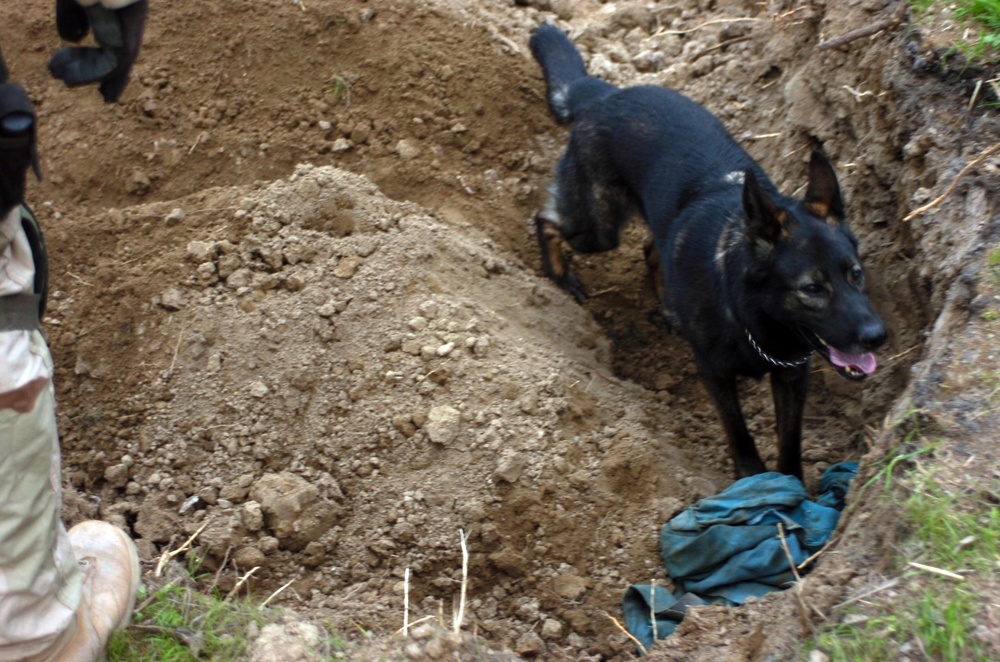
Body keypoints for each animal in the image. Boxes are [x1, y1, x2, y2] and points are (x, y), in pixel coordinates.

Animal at [528, 26, 888, 480]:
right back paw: (560, 275)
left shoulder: (792, 376)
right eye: (812, 289)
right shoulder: (715, 374)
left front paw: (791, 484)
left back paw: (668, 305)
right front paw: (752, 478)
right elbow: (740, 433)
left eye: (855, 273)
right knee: (547, 220)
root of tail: (603, 94)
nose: (878, 337)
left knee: (652, 248)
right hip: (598, 226)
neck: (753, 316)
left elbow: (790, 443)